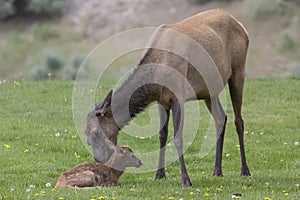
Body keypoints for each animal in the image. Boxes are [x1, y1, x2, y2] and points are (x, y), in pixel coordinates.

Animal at [89, 8, 251, 187]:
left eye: (95, 132)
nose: (98, 161)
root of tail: (242, 26)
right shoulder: (161, 101)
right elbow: (162, 136)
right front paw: (159, 174)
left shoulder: (178, 96)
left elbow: (178, 138)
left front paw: (186, 180)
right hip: (209, 89)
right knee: (221, 117)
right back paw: (217, 171)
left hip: (238, 70)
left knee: (239, 120)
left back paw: (245, 170)